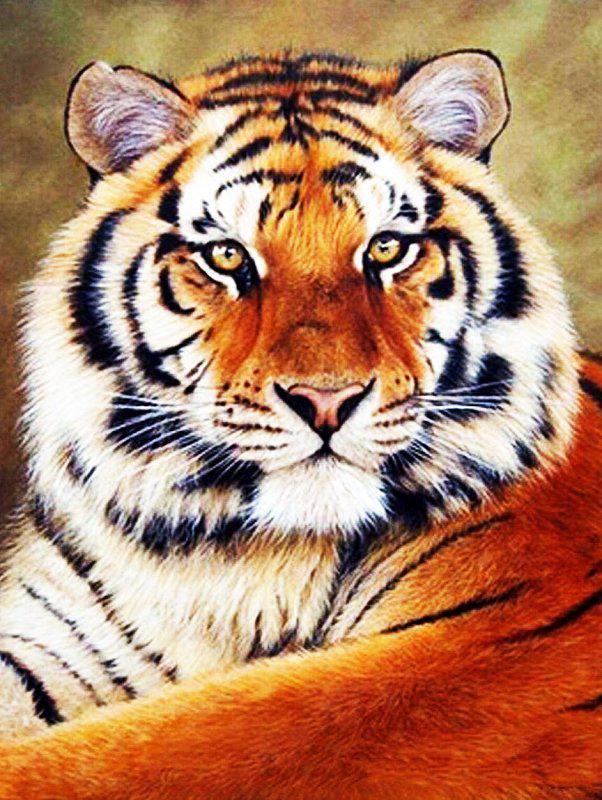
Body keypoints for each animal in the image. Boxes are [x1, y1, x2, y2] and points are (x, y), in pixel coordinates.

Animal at [0, 48, 599, 799]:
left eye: (387, 250)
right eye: (227, 256)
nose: (326, 401)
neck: (224, 555)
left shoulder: (476, 652)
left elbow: (145, 752)